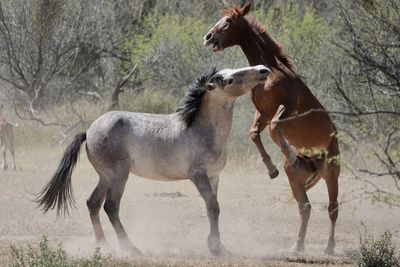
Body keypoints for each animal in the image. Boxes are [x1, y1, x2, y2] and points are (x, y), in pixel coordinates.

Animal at [37, 65, 270, 258]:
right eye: (226, 79)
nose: (263, 70)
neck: (200, 129)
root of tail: (89, 131)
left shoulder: (214, 176)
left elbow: (212, 208)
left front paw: (220, 247)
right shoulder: (198, 175)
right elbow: (213, 207)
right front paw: (215, 249)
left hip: (105, 177)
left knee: (92, 203)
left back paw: (103, 245)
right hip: (118, 175)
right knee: (110, 206)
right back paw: (131, 249)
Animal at [205, 3, 340, 256]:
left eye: (228, 21)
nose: (208, 37)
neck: (272, 71)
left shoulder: (286, 109)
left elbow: (274, 128)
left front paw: (287, 153)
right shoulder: (264, 112)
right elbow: (254, 133)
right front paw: (271, 169)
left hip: (331, 173)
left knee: (332, 209)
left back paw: (328, 248)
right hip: (296, 179)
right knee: (305, 207)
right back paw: (297, 246)